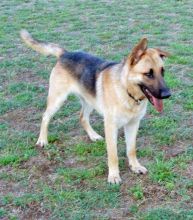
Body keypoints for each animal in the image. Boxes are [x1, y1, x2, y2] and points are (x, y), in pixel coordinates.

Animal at [20, 29, 170, 184]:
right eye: (148, 74)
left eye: (162, 71)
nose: (167, 94)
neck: (126, 90)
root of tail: (65, 53)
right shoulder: (111, 127)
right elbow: (113, 155)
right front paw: (114, 175)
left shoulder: (133, 124)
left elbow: (131, 149)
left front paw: (135, 166)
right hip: (57, 100)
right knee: (45, 117)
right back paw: (42, 140)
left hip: (89, 102)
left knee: (82, 117)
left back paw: (93, 136)